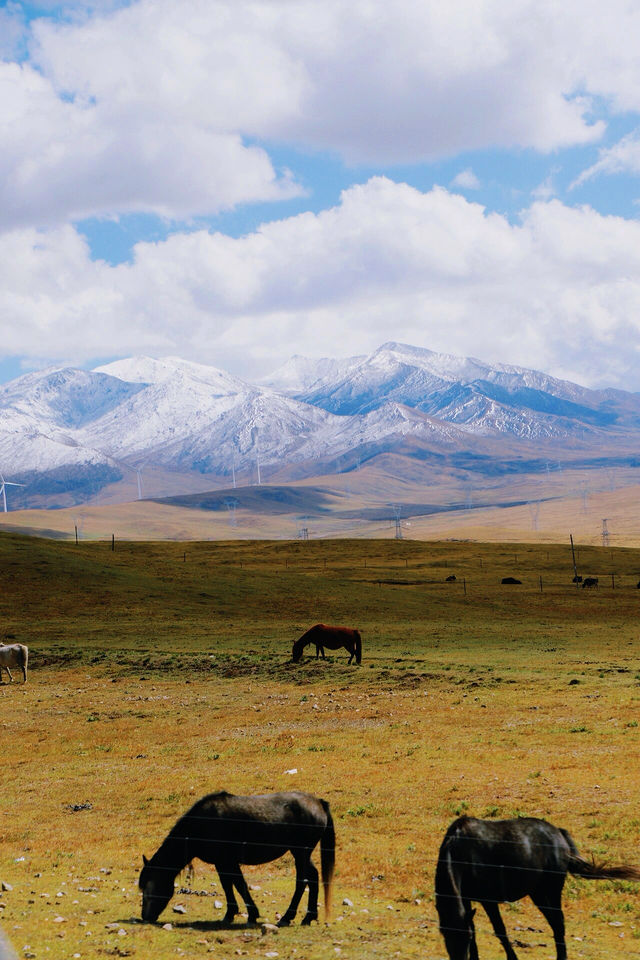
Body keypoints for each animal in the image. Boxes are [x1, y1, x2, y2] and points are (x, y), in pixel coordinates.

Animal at [139, 792, 336, 928]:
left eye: (149, 888)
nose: (145, 917)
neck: (203, 823)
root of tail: (318, 802)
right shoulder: (222, 863)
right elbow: (228, 885)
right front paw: (230, 914)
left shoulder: (228, 862)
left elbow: (239, 885)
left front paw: (251, 914)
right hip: (302, 854)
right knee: (313, 877)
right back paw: (308, 917)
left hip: (300, 853)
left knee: (302, 881)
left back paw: (289, 917)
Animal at [436, 816, 640, 960]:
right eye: (444, 936)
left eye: (465, 939)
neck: (461, 850)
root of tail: (558, 833)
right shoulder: (466, 900)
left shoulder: (489, 900)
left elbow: (500, 930)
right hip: (539, 894)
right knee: (555, 923)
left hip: (551, 891)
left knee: (558, 924)